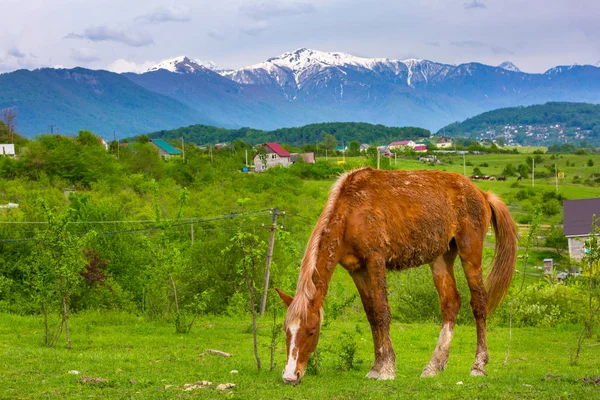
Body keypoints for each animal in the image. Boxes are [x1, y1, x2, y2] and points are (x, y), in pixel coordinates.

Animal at [276, 166, 516, 384]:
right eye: (286, 330)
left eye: (311, 331)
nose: (290, 376)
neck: (351, 211)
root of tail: (481, 194)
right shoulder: (357, 270)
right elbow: (372, 314)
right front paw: (376, 366)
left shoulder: (375, 260)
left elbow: (382, 311)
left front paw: (387, 369)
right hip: (441, 257)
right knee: (451, 303)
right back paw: (434, 366)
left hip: (470, 254)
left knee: (479, 303)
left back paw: (478, 365)